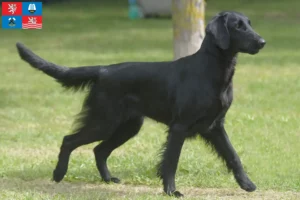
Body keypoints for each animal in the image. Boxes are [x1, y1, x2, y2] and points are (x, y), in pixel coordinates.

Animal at [16, 10, 264, 197]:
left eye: (249, 24)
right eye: (238, 26)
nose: (262, 42)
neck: (212, 70)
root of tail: (103, 70)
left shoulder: (215, 126)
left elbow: (233, 155)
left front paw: (247, 184)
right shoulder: (180, 127)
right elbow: (171, 161)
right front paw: (171, 191)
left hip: (128, 126)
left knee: (99, 149)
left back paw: (108, 179)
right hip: (104, 121)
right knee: (69, 140)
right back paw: (58, 174)